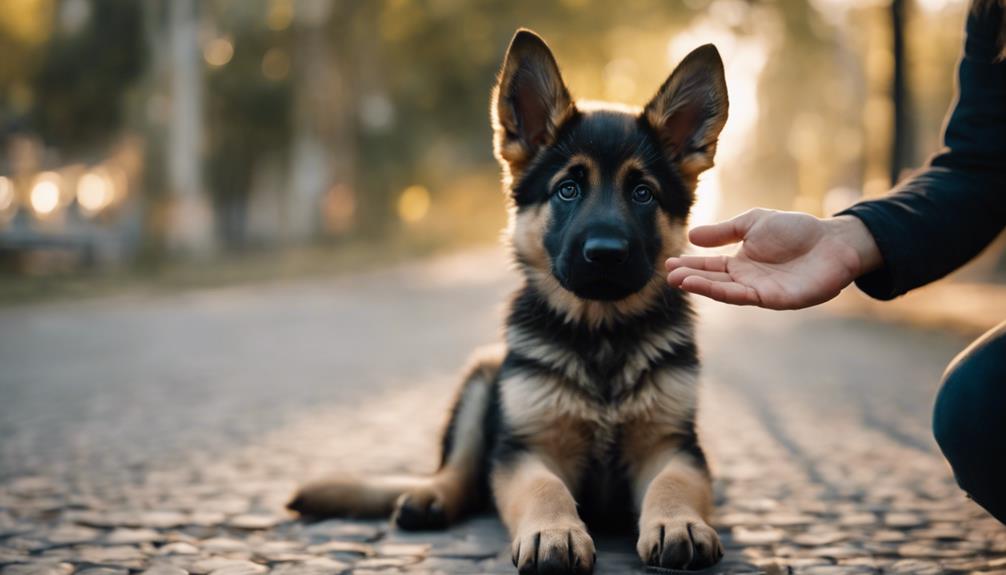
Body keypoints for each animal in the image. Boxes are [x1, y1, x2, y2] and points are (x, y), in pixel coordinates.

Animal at [287, 28, 728, 575]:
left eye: (643, 193)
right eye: (567, 189)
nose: (605, 253)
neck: (601, 334)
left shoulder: (674, 444)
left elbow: (674, 482)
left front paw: (677, 523)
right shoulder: (524, 447)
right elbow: (543, 487)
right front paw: (554, 533)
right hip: (482, 378)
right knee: (460, 471)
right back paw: (430, 497)